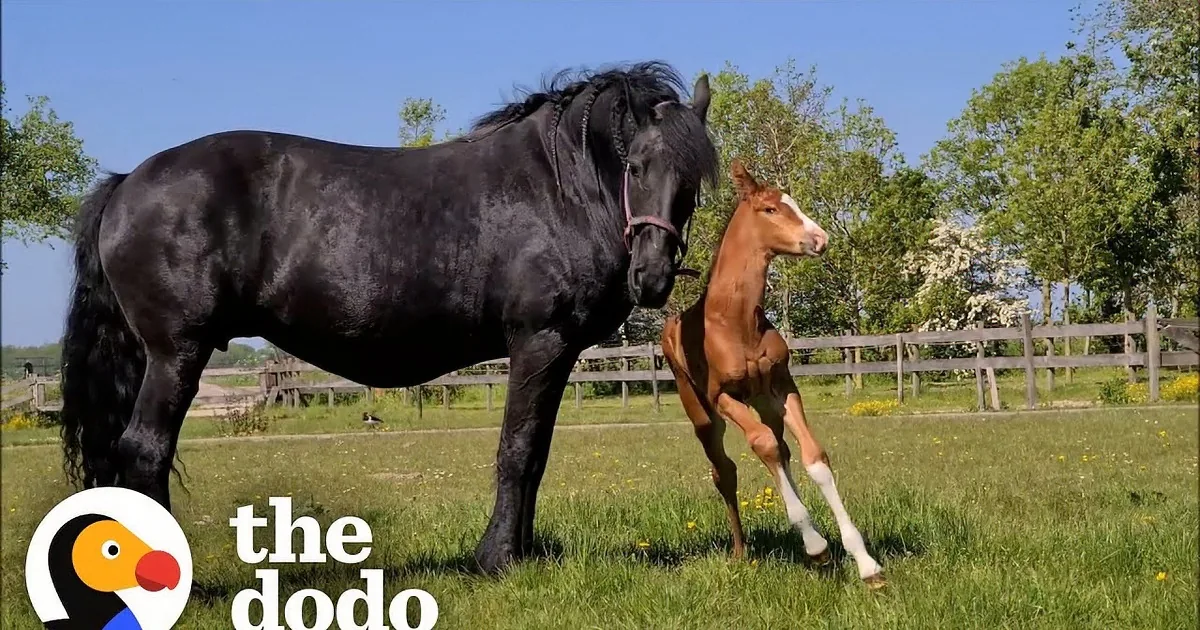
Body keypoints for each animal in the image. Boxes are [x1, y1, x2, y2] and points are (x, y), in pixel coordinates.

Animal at [59, 61, 719, 574]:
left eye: (693, 178)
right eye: (635, 166)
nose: (652, 276)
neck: (560, 186)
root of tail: (127, 183)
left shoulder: (558, 354)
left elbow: (537, 455)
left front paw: (523, 553)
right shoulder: (540, 341)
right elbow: (518, 450)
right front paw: (498, 559)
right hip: (177, 352)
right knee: (145, 449)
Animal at [660, 159, 885, 588]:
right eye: (770, 209)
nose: (819, 238)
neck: (734, 320)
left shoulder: (782, 386)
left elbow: (813, 457)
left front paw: (864, 561)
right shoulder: (724, 396)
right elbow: (762, 446)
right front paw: (815, 544)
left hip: (763, 400)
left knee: (782, 451)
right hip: (702, 415)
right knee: (725, 470)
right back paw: (741, 551)